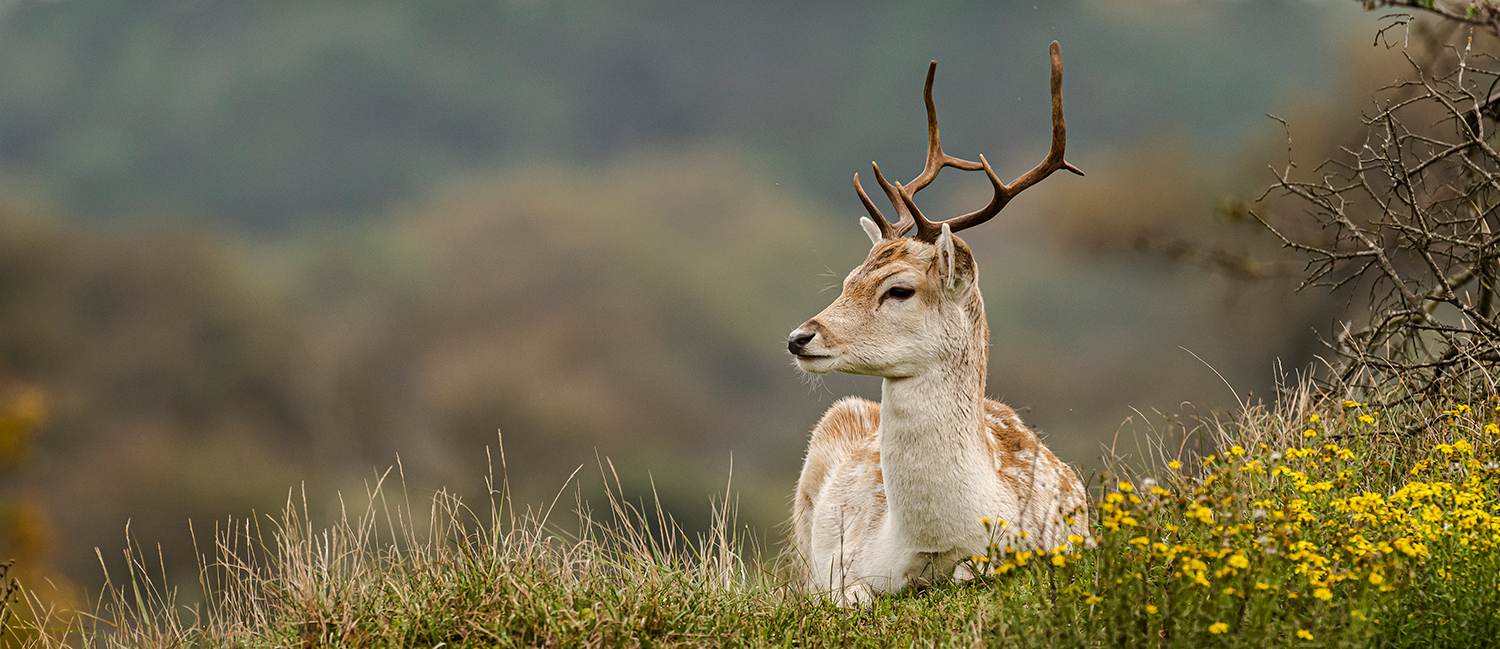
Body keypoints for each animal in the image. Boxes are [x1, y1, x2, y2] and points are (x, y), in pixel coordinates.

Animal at [786, 43, 1092, 605]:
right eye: (848, 278)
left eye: (899, 289)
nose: (799, 337)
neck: (935, 542)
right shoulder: (841, 563)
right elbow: (844, 594)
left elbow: (978, 572)